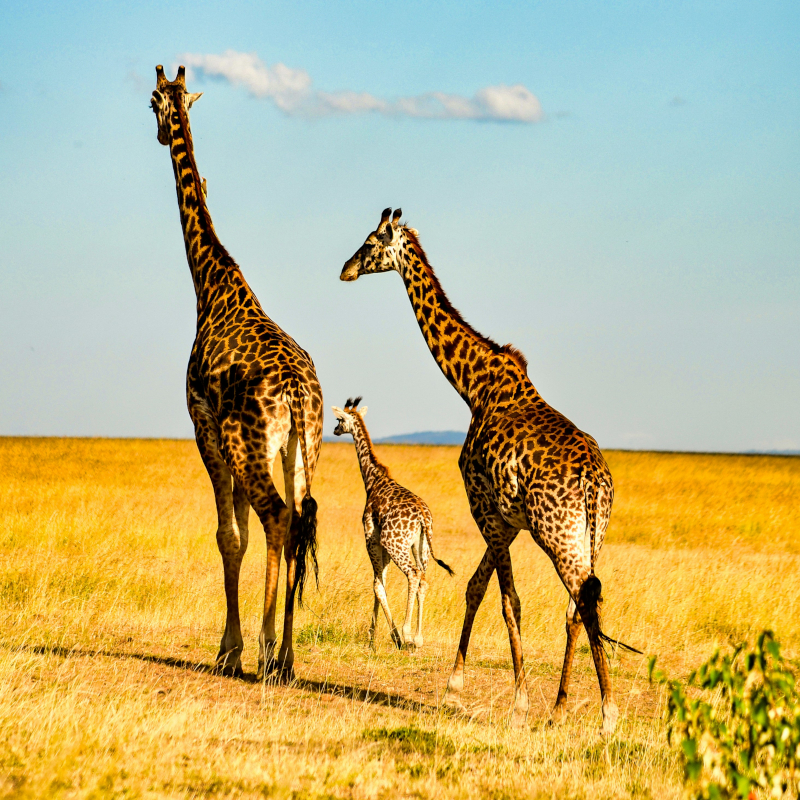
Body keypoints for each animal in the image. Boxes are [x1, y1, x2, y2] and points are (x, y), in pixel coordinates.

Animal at [150, 65, 324, 681]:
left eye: (151, 102)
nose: (160, 132)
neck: (211, 283)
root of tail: (297, 394)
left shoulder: (204, 426)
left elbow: (230, 535)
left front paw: (229, 648)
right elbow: (242, 535)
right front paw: (239, 644)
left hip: (248, 446)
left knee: (279, 518)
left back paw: (270, 651)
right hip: (300, 451)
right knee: (299, 521)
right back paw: (288, 655)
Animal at [331, 398, 454, 651]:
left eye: (339, 419)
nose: (334, 430)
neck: (373, 480)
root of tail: (423, 517)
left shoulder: (371, 538)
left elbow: (377, 585)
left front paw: (388, 636)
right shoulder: (382, 545)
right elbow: (383, 583)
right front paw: (374, 636)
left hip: (396, 544)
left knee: (413, 575)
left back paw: (406, 634)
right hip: (421, 547)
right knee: (423, 580)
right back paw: (418, 638)